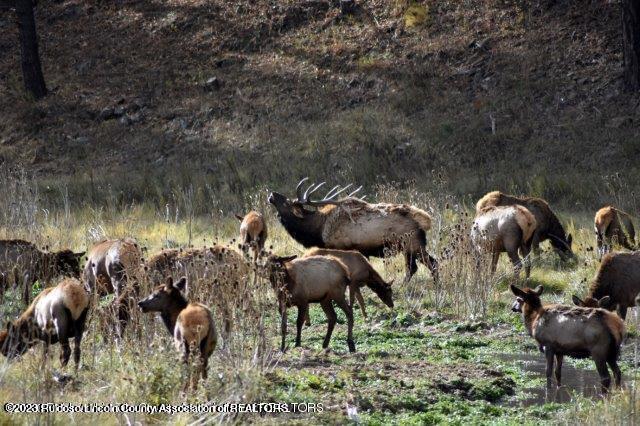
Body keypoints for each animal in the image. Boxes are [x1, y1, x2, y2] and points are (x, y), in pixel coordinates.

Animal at [268, 179, 440, 282]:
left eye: (288, 202)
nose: (272, 194)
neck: (318, 230)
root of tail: (424, 220)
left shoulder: (343, 248)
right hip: (410, 248)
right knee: (416, 267)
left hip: (413, 245)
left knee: (430, 264)